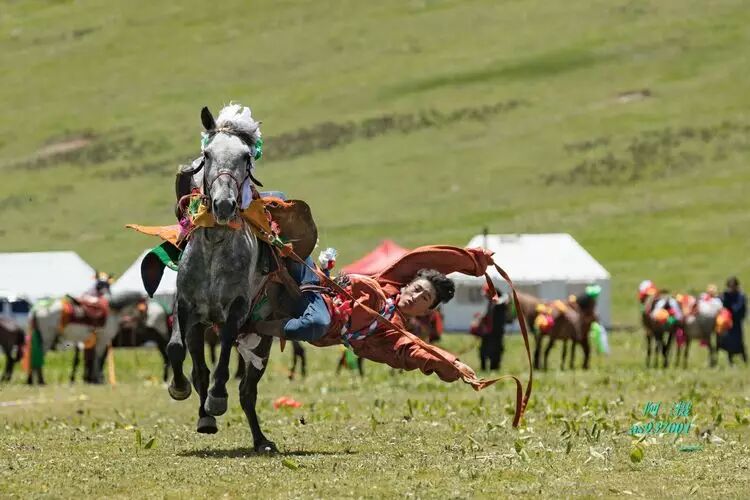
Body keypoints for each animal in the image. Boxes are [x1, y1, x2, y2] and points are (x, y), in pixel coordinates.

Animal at [166, 104, 278, 452]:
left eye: (245, 156)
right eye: (207, 154)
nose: (224, 205)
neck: (215, 246)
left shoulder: (236, 310)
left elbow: (224, 352)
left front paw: (216, 400)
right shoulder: (187, 309)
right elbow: (178, 351)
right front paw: (182, 390)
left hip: (261, 340)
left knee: (247, 390)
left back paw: (260, 440)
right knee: (200, 369)